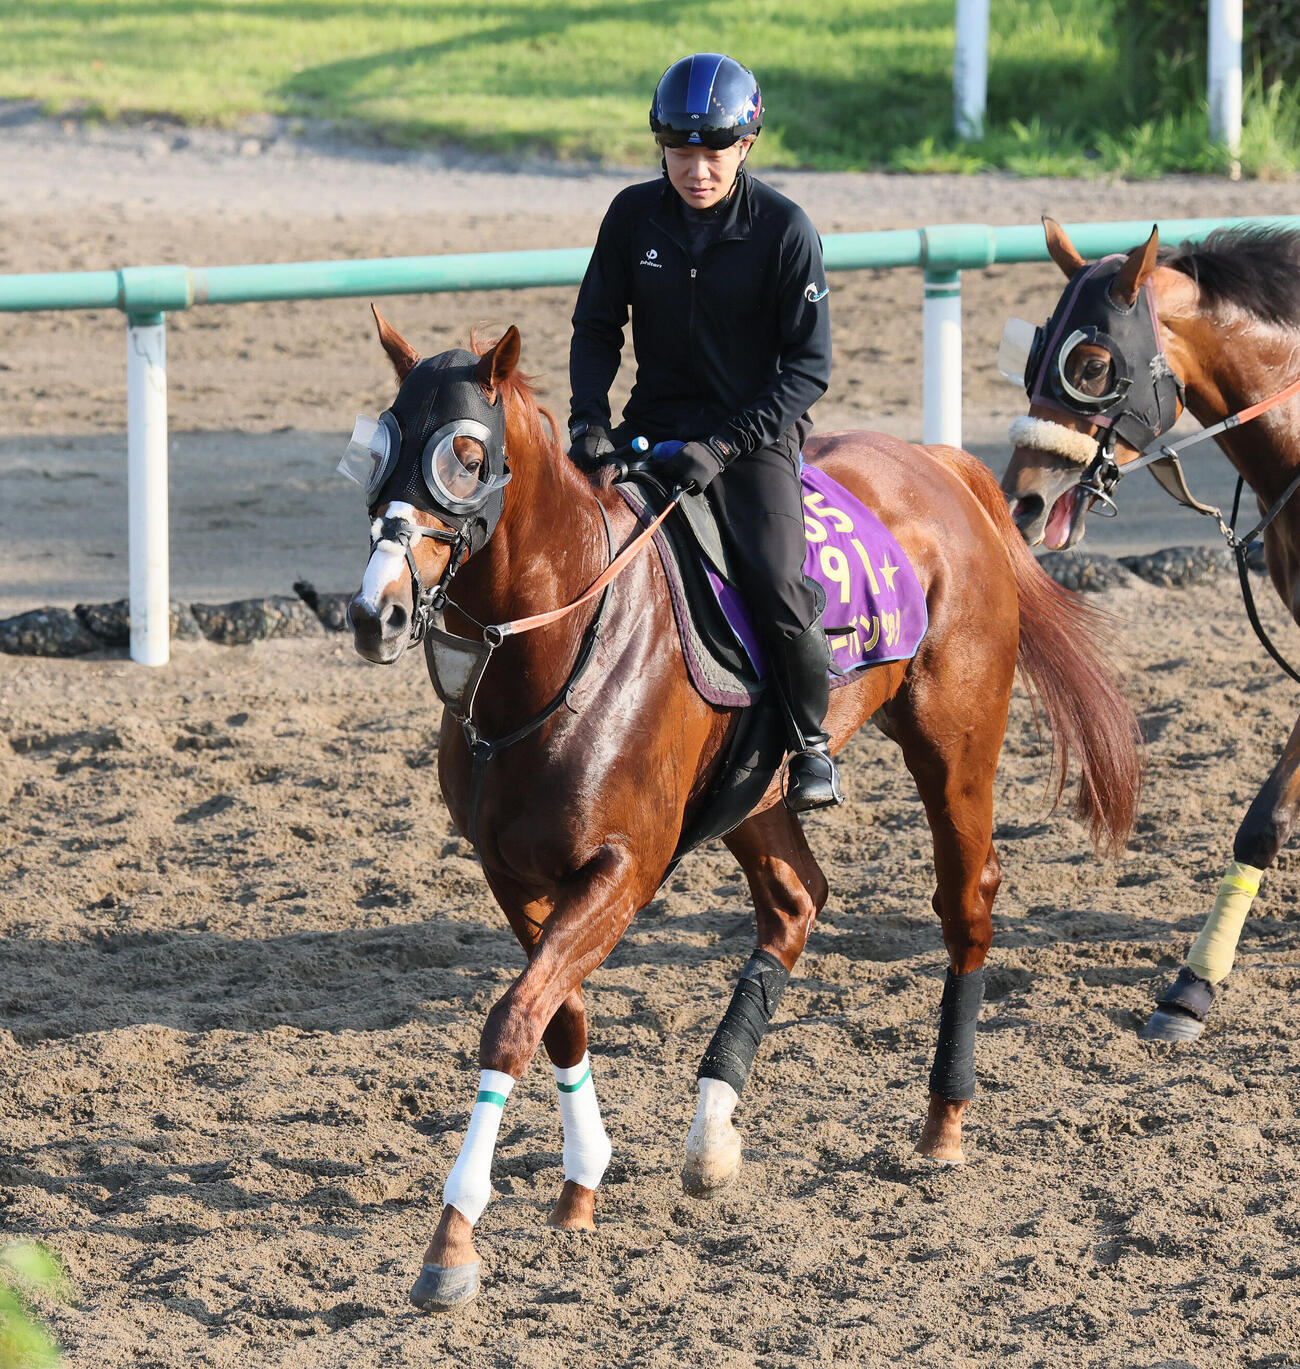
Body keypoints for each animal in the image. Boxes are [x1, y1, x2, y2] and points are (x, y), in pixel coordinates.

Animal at [344, 309, 1141, 1311]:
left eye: (464, 454)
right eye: (380, 446)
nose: (375, 610)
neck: (558, 650)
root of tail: (938, 464)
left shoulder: (624, 869)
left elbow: (515, 1021)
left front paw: (453, 1238)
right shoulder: (513, 873)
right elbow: (559, 1014)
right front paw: (580, 1184)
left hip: (954, 744)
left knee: (967, 900)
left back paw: (943, 1121)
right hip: (758, 792)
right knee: (797, 900)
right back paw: (714, 1128)